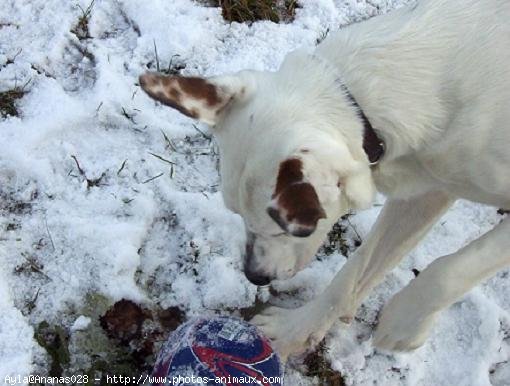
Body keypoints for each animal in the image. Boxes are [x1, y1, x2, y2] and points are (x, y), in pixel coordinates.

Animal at [137, 0, 508, 360]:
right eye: (237, 213)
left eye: (281, 229)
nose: (254, 276)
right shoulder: (426, 189)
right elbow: (356, 269)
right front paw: (297, 329)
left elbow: (449, 271)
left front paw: (403, 324)